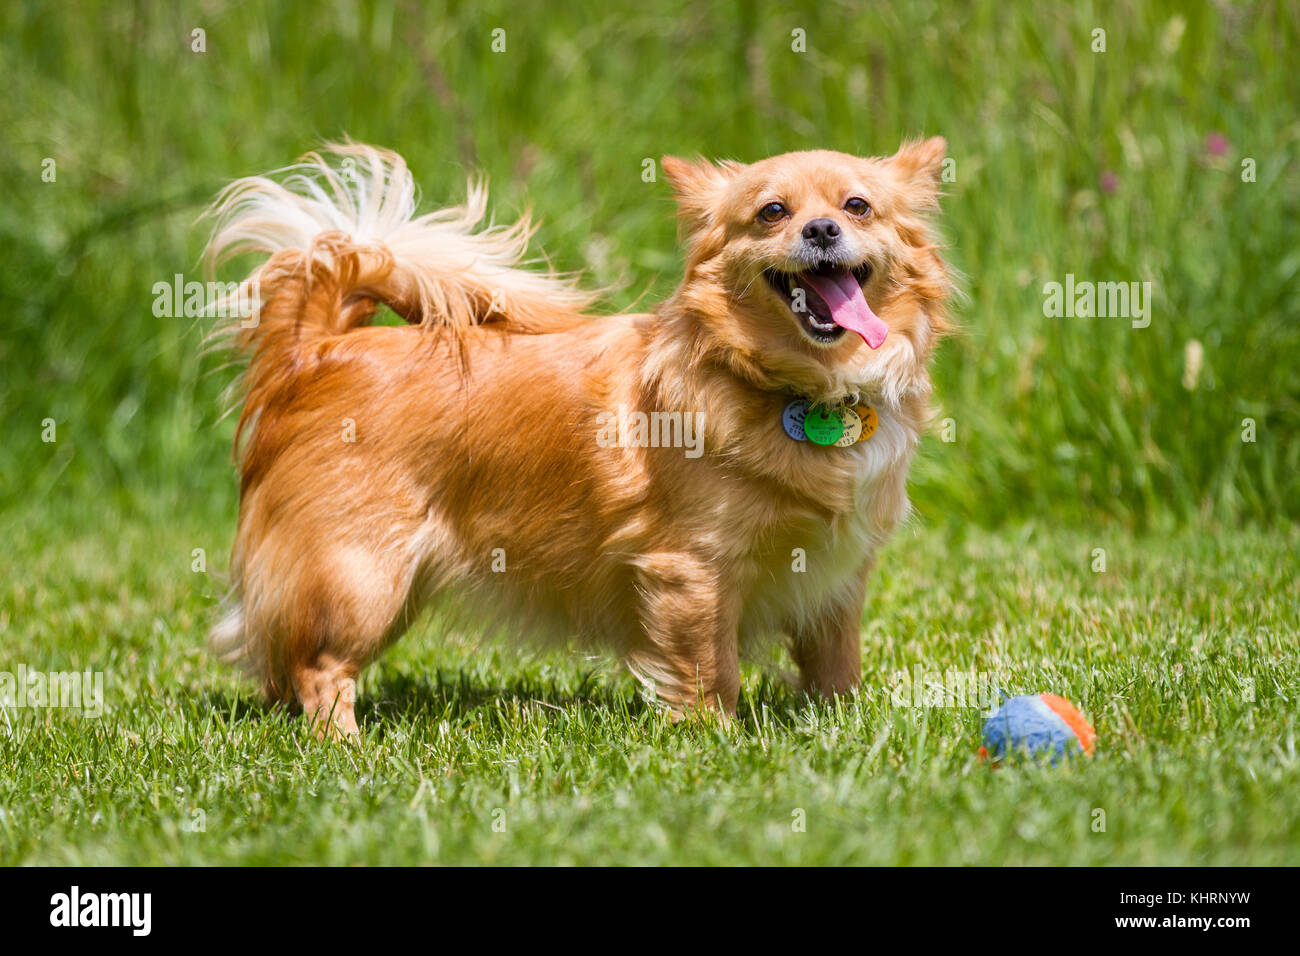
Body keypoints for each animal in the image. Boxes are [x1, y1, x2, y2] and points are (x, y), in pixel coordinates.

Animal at [205, 138, 956, 738]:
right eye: (773, 212)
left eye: (858, 206)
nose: (823, 228)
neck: (801, 386)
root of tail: (317, 349)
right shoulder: (694, 572)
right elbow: (710, 671)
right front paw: (716, 743)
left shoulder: (834, 580)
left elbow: (836, 668)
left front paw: (844, 726)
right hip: (361, 578)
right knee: (321, 668)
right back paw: (346, 748)